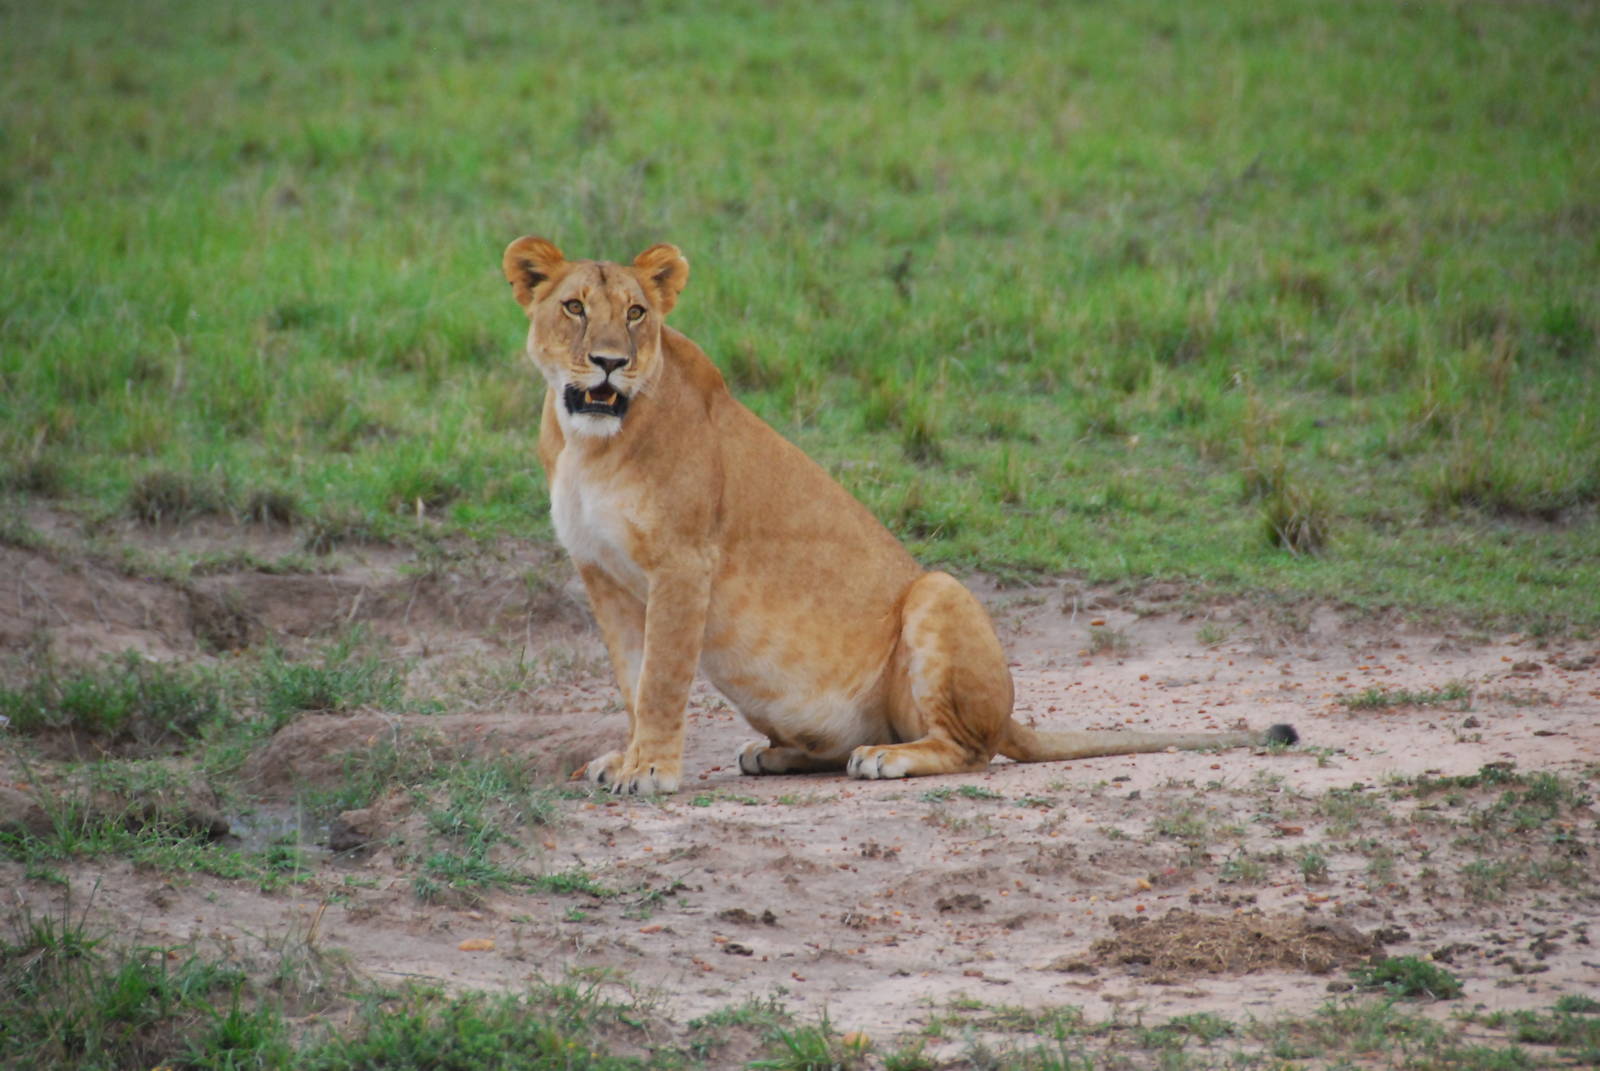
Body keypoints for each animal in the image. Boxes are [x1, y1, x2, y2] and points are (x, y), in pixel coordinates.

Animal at [502, 237, 1297, 794]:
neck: (588, 443)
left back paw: (885, 756)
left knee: (970, 749)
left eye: (637, 313)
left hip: (938, 593)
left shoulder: (683, 564)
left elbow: (663, 679)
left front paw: (652, 771)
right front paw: (629, 756)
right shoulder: (602, 574)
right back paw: (775, 754)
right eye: (574, 308)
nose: (610, 363)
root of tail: (1012, 715)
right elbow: (633, 679)